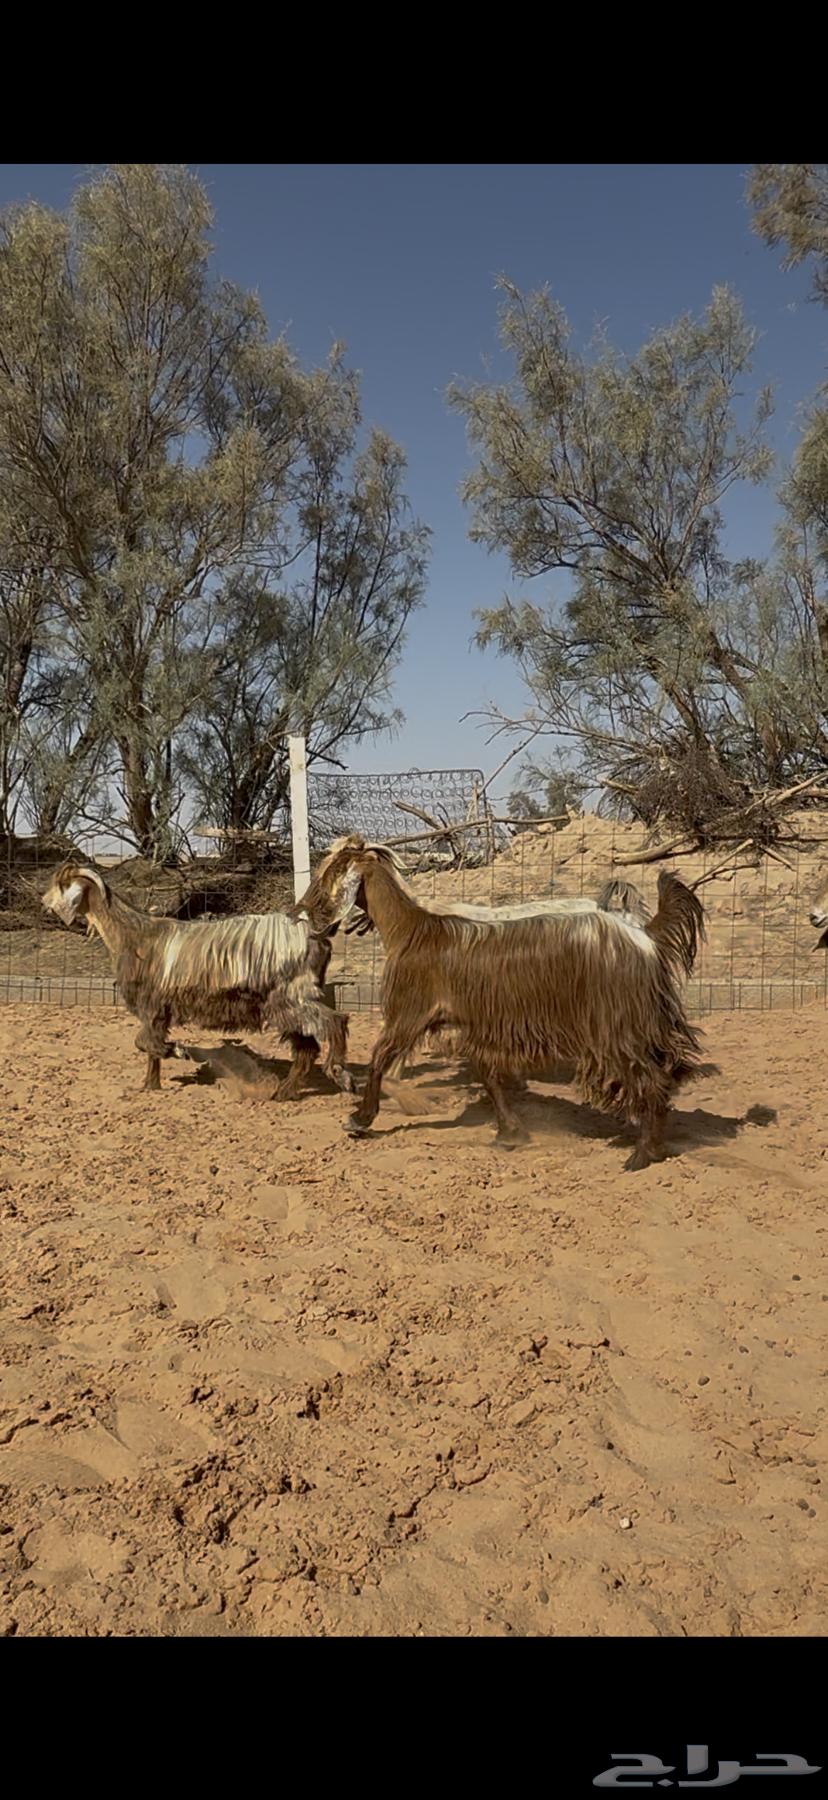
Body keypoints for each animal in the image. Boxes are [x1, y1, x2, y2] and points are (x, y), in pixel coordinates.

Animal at [41, 862, 354, 1098]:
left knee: (334, 1021)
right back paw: (283, 1092)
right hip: (287, 1003)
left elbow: (144, 1042)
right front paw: (151, 1085)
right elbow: (148, 1046)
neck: (133, 934)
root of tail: (313, 933)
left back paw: (339, 1073)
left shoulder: (152, 1006)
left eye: (61, 884)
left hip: (290, 997)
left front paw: (177, 1051)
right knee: (307, 1048)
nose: (44, 903)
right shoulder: (157, 1012)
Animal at [315, 837, 708, 1170]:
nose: (312, 910)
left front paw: (359, 1118)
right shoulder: (471, 1023)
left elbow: (379, 1059)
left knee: (652, 1079)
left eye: (332, 872)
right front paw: (510, 1133)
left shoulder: (408, 1013)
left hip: (616, 1027)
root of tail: (645, 936)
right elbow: (487, 1075)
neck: (413, 929)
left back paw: (643, 1154)